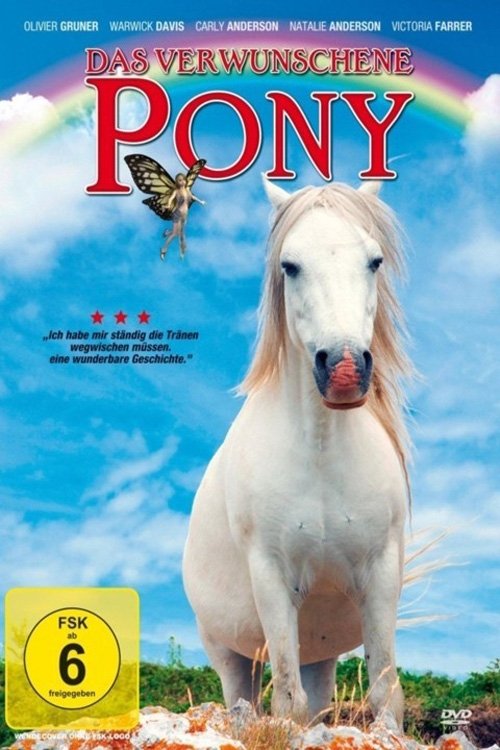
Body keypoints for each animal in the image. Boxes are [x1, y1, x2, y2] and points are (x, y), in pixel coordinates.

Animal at [183, 177, 414, 731]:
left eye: (374, 260)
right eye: (290, 265)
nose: (345, 369)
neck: (321, 452)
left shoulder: (380, 576)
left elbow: (384, 695)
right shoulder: (271, 577)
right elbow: (287, 702)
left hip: (320, 651)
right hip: (229, 653)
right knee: (243, 703)